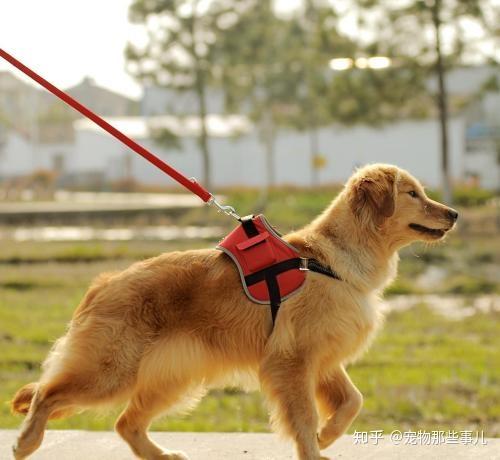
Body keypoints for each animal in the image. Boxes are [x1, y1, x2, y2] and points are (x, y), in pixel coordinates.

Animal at [10, 164, 458, 460]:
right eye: (413, 194)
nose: (455, 214)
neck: (330, 260)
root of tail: (103, 283)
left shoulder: (323, 360)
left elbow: (353, 401)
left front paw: (328, 435)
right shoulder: (292, 361)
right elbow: (304, 417)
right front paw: (316, 447)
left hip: (171, 377)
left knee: (126, 423)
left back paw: (162, 456)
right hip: (110, 371)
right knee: (47, 394)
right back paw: (26, 442)